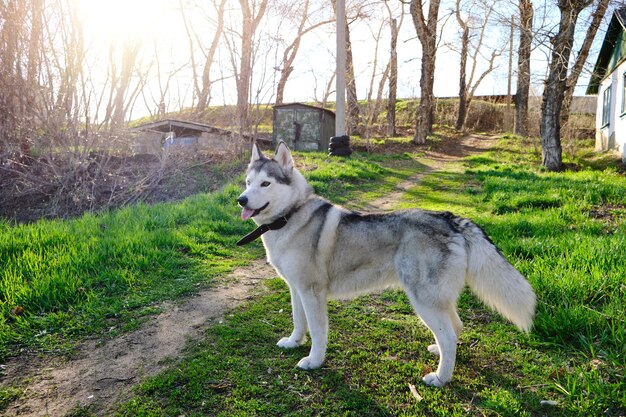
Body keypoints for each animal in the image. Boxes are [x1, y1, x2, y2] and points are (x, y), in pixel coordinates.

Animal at [236, 141, 532, 386]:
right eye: (248, 182)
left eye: (265, 184)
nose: (241, 199)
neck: (290, 216)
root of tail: (449, 218)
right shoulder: (296, 289)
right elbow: (299, 322)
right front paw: (294, 342)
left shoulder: (312, 293)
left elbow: (318, 332)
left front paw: (314, 361)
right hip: (438, 299)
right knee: (455, 327)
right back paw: (438, 351)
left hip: (423, 300)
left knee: (449, 335)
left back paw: (440, 378)